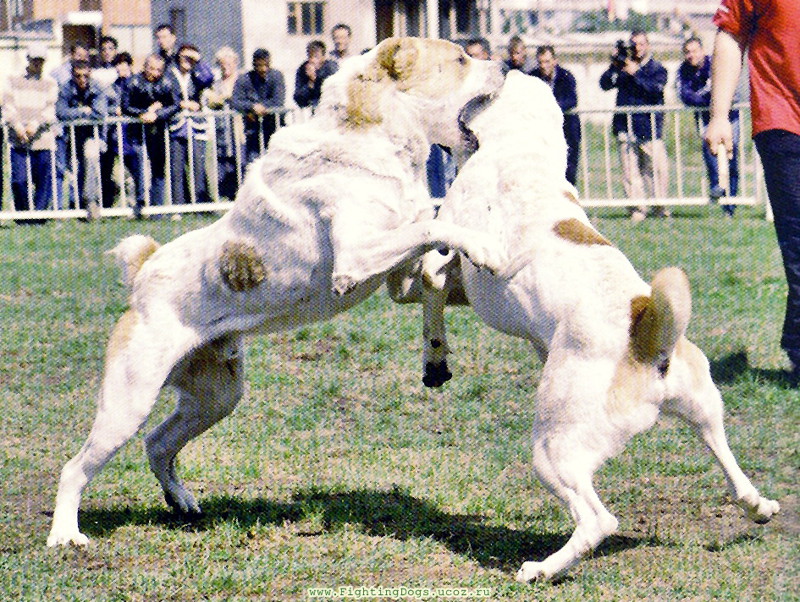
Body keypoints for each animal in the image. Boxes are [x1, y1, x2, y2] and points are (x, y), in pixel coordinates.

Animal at [45, 36, 506, 544]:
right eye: (460, 59)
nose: (505, 65)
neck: (375, 140)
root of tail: (145, 269)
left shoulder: (397, 278)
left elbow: (432, 272)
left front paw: (436, 358)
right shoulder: (355, 261)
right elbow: (434, 226)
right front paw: (488, 247)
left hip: (217, 397)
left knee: (158, 443)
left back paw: (182, 501)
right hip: (129, 400)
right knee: (75, 468)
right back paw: (65, 536)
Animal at [416, 71, 780, 580]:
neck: (520, 145)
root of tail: (648, 340)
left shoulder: (451, 250)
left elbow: (430, 277)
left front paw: (435, 360)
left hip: (553, 449)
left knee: (597, 521)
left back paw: (541, 569)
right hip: (703, 404)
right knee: (726, 458)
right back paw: (758, 505)